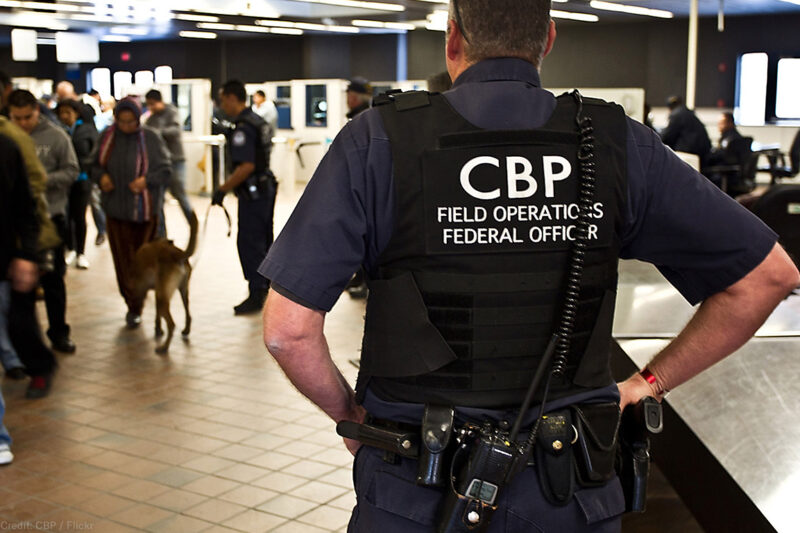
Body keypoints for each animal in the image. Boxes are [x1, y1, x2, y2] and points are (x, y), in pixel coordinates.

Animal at [133, 211, 198, 354]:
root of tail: (176, 254)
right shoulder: (157, 291)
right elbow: (157, 315)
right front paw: (158, 328)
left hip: (163, 299)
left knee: (172, 325)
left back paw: (164, 347)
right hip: (182, 291)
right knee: (188, 313)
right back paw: (186, 330)